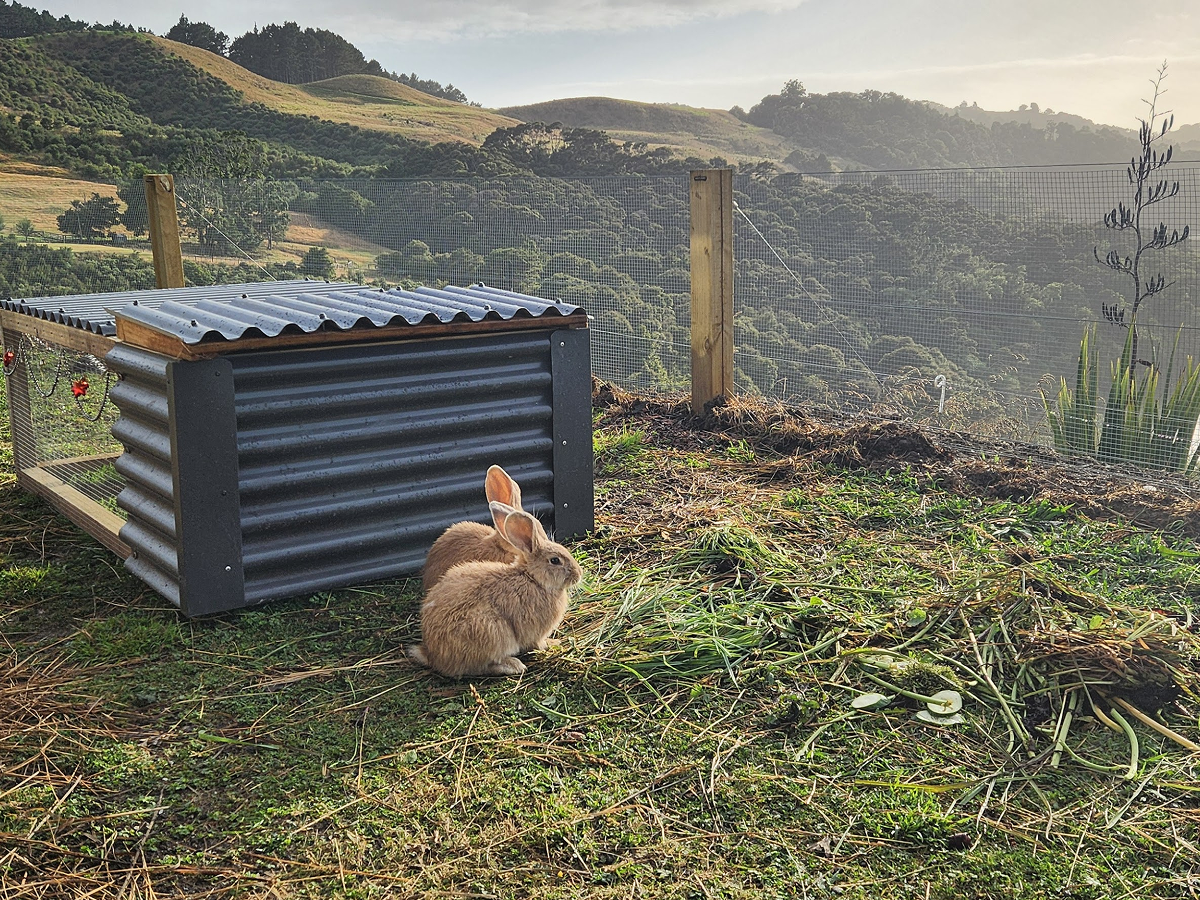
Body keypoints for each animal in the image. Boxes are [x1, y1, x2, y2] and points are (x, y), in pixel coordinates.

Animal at [407, 500, 583, 678]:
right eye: (555, 560)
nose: (579, 574)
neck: (533, 579)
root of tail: (432, 655)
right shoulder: (535, 632)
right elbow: (537, 643)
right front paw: (553, 643)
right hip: (493, 632)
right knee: (478, 667)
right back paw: (513, 665)